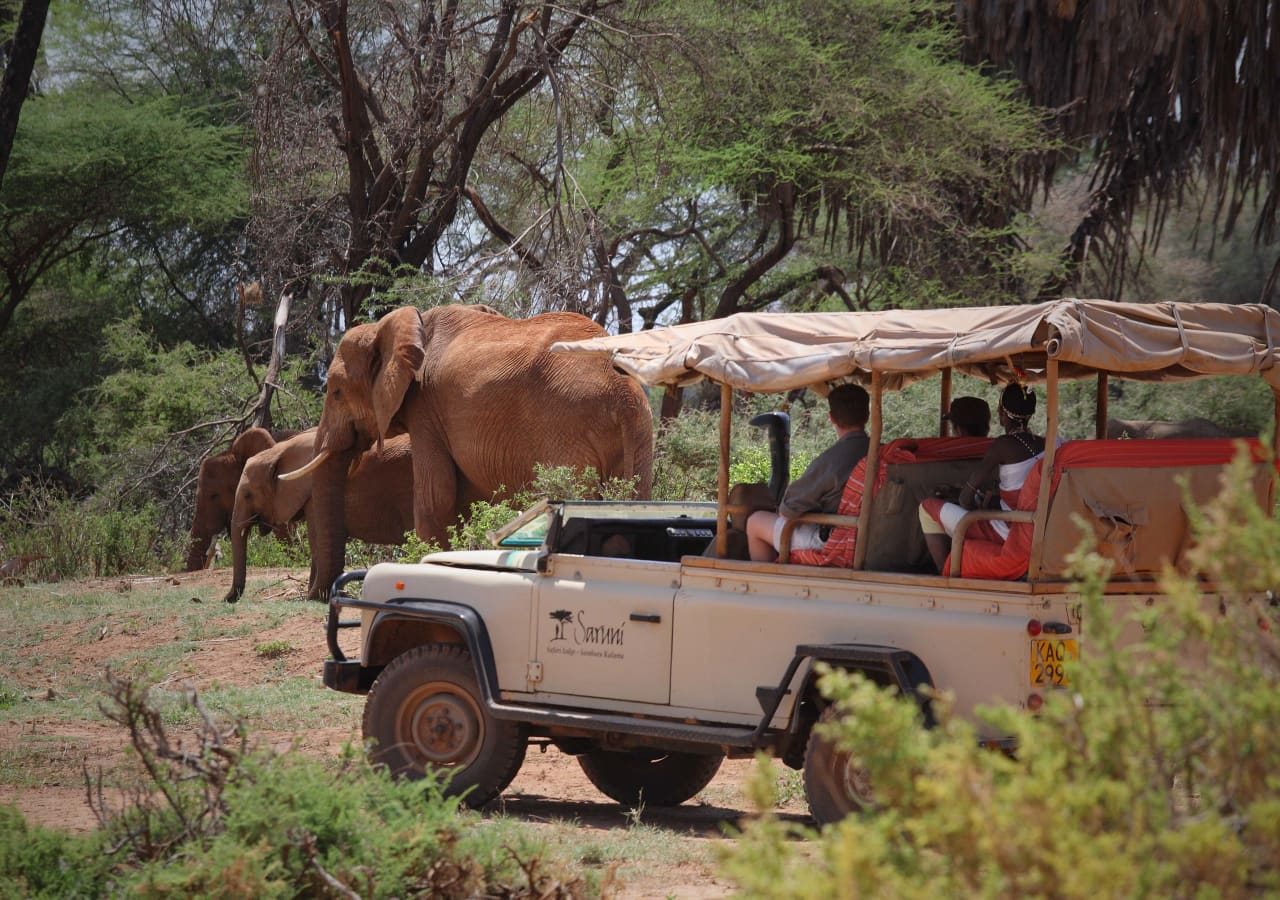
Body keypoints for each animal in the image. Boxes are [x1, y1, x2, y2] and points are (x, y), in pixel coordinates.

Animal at [225, 430, 412, 604]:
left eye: (248, 495)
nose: (227, 599)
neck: (278, 450)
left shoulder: (313, 496)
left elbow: (316, 544)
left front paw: (315, 596)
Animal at [285, 308, 655, 599]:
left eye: (335, 392)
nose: (316, 593)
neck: (398, 325)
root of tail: (622, 390)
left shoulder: (426, 410)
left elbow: (437, 495)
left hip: (566, 428)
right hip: (638, 434)